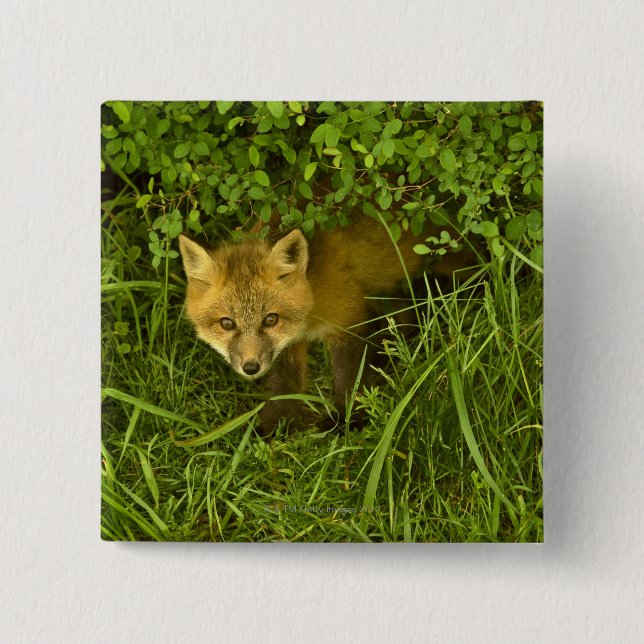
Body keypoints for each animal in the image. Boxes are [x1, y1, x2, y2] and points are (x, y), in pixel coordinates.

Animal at [178, 194, 467, 433]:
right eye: (227, 323)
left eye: (270, 319)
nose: (251, 367)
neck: (310, 308)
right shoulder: (289, 345)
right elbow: (284, 386)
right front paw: (278, 427)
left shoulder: (348, 319)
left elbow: (349, 379)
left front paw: (347, 422)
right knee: (406, 321)